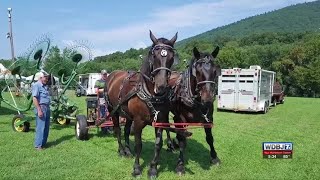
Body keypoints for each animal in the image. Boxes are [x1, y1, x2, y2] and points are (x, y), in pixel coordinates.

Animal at [106, 30, 179, 177]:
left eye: (171, 57)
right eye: (154, 55)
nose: (161, 86)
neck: (150, 94)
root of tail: (112, 75)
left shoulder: (160, 120)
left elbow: (158, 144)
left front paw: (153, 169)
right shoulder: (138, 121)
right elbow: (139, 145)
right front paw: (137, 168)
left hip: (127, 114)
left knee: (126, 130)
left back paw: (128, 151)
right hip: (113, 110)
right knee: (117, 130)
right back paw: (121, 150)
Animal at [166, 45, 221, 175]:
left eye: (215, 71)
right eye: (198, 72)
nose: (208, 98)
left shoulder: (208, 118)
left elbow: (210, 138)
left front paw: (214, 157)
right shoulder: (179, 119)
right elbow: (182, 141)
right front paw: (180, 165)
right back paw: (170, 145)